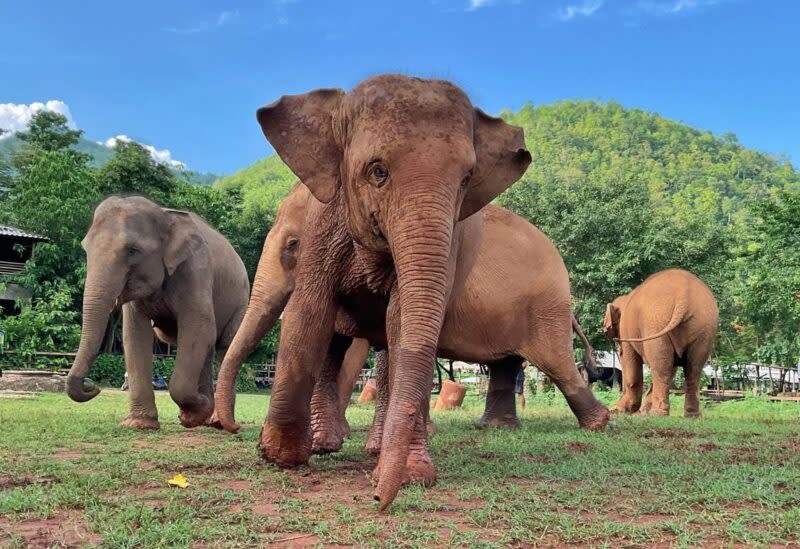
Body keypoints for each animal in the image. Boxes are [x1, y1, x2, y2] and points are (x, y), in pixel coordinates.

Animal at [66, 195, 250, 430]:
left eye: (132, 250)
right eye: (85, 248)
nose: (92, 385)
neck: (165, 215)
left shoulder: (195, 269)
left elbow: (198, 328)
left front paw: (192, 414)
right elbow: (135, 335)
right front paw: (139, 424)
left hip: (242, 301)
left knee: (226, 347)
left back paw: (217, 421)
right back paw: (207, 417)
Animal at [212, 182, 600, 452]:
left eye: (293, 245)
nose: (228, 427)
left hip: (545, 312)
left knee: (557, 365)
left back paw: (597, 424)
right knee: (506, 364)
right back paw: (493, 429)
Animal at [600, 268, 720, 416]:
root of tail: (684, 296)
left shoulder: (625, 331)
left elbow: (630, 364)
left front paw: (619, 410)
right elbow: (673, 367)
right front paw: (641, 413)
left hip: (656, 323)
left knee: (661, 367)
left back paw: (657, 413)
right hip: (704, 327)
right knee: (693, 368)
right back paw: (691, 415)